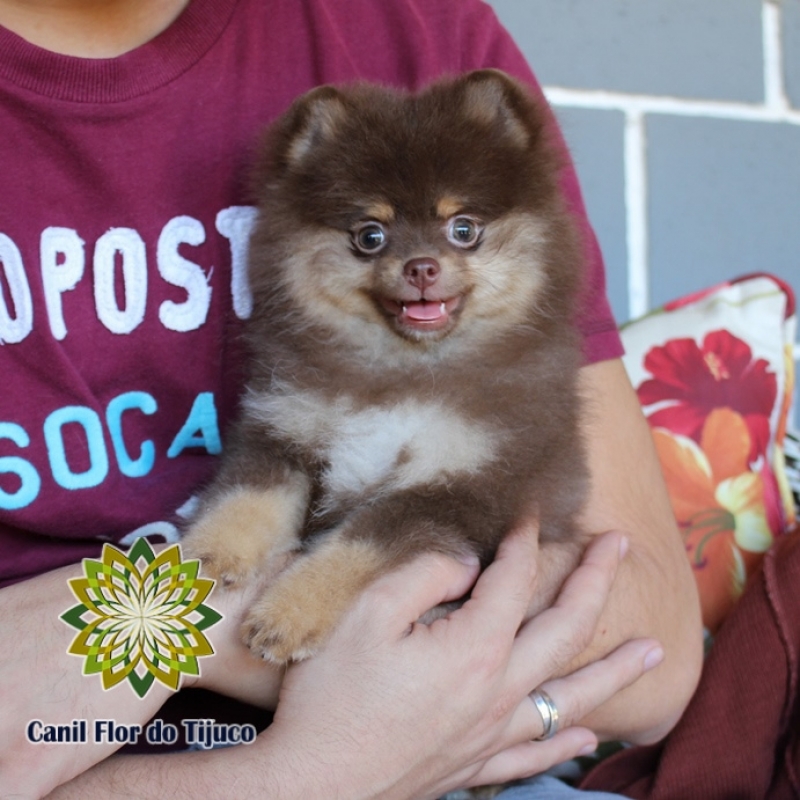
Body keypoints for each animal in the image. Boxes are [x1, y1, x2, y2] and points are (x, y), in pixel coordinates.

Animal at [184, 72, 592, 664]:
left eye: (463, 229)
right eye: (369, 235)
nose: (421, 267)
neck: (403, 374)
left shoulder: (463, 487)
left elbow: (357, 544)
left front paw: (290, 611)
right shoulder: (283, 429)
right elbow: (248, 496)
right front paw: (205, 555)